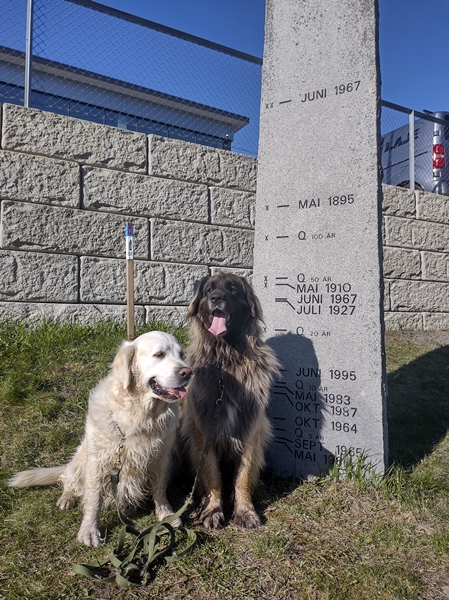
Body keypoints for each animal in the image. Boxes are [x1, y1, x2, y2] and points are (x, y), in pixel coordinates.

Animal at [179, 272, 278, 528]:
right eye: (209, 290)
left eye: (233, 289)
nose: (216, 298)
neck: (225, 359)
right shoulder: (204, 429)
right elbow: (212, 473)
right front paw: (212, 510)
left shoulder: (250, 428)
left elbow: (242, 476)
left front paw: (244, 511)